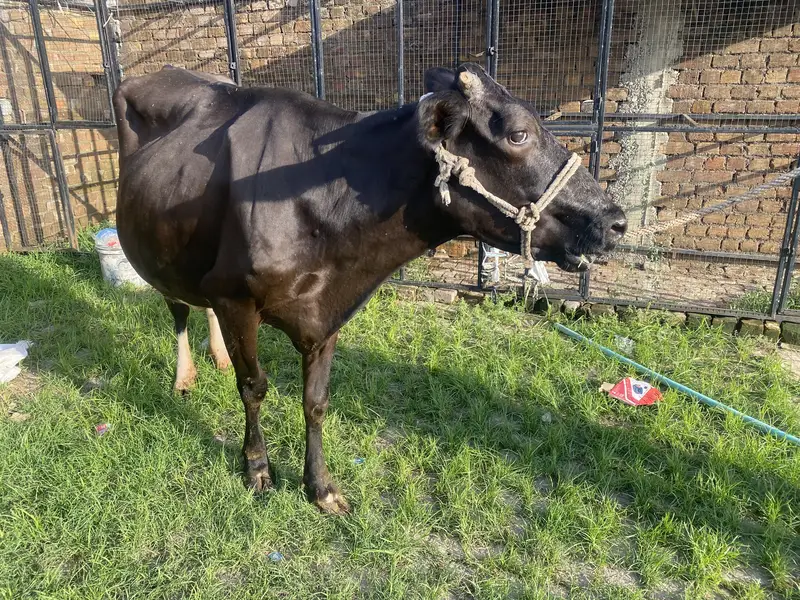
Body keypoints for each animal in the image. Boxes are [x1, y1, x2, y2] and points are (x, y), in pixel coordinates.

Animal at [113, 63, 626, 514]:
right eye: (519, 133)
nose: (616, 220)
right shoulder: (233, 297)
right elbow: (254, 387)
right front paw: (257, 467)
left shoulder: (327, 313)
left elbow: (315, 403)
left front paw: (320, 488)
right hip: (160, 256)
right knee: (179, 307)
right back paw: (185, 376)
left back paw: (218, 357)